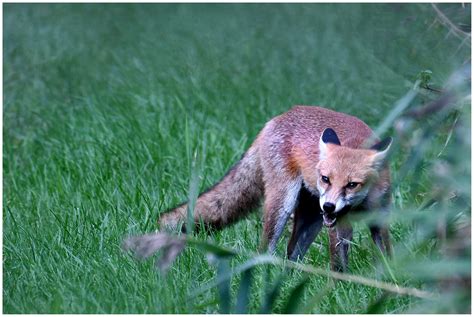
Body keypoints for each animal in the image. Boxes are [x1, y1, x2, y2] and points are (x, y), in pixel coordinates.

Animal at [159, 105, 392, 270]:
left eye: (352, 184)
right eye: (325, 179)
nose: (328, 206)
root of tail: (277, 118)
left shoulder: (380, 213)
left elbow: (387, 253)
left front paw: (392, 283)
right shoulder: (338, 223)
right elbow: (339, 264)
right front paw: (337, 287)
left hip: (311, 218)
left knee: (291, 253)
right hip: (283, 205)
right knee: (265, 249)